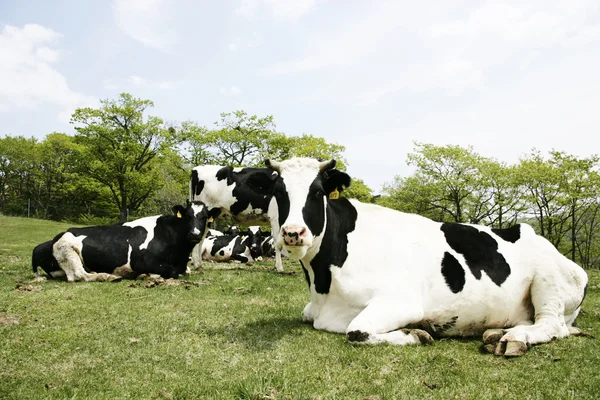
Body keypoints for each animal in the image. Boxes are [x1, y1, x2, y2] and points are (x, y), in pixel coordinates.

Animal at [32, 200, 220, 282]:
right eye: (188, 216)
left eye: (204, 217)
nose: (195, 234)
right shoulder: (141, 261)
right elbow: (172, 272)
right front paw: (148, 275)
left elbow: (185, 271)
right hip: (67, 250)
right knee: (78, 275)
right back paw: (107, 276)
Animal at [241, 158, 588, 358]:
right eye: (279, 192)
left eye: (317, 193)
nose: (293, 233)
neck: (322, 284)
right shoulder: (312, 309)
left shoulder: (401, 302)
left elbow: (357, 331)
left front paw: (417, 334)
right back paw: (497, 333)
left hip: (548, 282)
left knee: (551, 325)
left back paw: (513, 339)